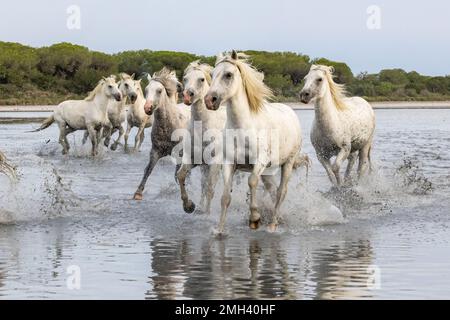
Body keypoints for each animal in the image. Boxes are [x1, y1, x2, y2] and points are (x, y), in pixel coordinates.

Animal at [133, 68, 191, 200]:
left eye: (159, 91)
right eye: (146, 90)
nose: (147, 108)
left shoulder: (179, 152)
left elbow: (178, 172)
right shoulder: (155, 151)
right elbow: (148, 170)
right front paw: (138, 193)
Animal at [175, 60, 227, 215]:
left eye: (201, 79)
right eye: (185, 78)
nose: (188, 95)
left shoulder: (215, 162)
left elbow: (210, 186)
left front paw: (207, 213)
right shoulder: (193, 159)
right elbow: (181, 176)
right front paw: (189, 206)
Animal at [205, 51, 304, 234]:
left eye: (228, 75)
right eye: (212, 74)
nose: (209, 100)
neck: (242, 129)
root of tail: (290, 111)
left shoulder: (260, 161)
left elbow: (251, 182)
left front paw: (255, 219)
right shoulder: (229, 163)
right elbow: (225, 197)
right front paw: (219, 230)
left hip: (287, 163)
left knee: (281, 192)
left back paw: (272, 224)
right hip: (269, 171)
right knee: (273, 190)